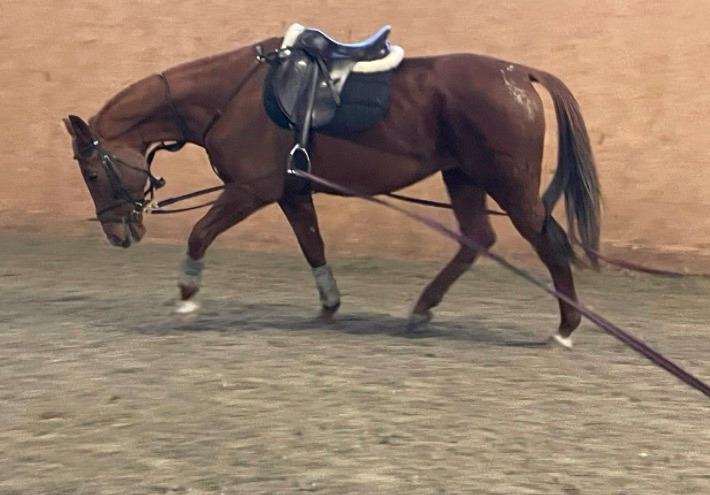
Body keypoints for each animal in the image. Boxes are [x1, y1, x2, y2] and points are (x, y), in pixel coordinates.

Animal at [63, 25, 601, 347]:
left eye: (92, 173)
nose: (119, 234)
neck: (233, 96)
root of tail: (518, 73)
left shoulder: (251, 190)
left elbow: (200, 233)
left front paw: (188, 296)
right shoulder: (292, 193)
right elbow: (313, 246)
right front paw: (329, 306)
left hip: (508, 184)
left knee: (547, 240)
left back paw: (565, 328)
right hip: (464, 177)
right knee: (476, 239)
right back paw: (422, 311)